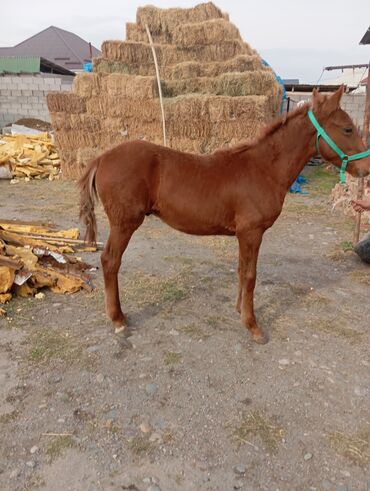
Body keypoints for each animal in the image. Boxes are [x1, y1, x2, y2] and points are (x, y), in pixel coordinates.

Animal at [79, 86, 370, 344]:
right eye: (347, 128)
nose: (366, 168)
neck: (263, 169)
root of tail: (102, 158)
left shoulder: (244, 234)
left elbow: (242, 271)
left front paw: (240, 310)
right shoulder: (252, 232)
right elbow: (251, 276)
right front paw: (253, 326)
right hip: (124, 223)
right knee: (110, 261)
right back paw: (118, 319)